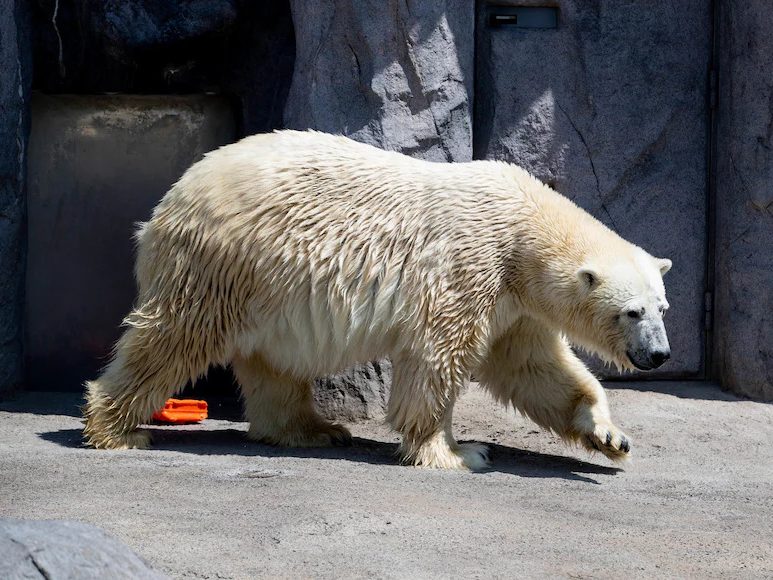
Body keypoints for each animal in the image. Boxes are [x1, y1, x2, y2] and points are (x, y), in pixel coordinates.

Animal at [83, 129, 668, 468]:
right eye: (630, 311)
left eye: (662, 308)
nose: (659, 354)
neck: (521, 228)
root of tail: (172, 198)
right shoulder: (469, 268)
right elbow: (437, 360)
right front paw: (458, 451)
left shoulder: (513, 301)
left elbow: (532, 366)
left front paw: (610, 435)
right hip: (223, 262)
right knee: (172, 336)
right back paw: (116, 430)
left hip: (264, 285)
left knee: (274, 364)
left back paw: (315, 430)